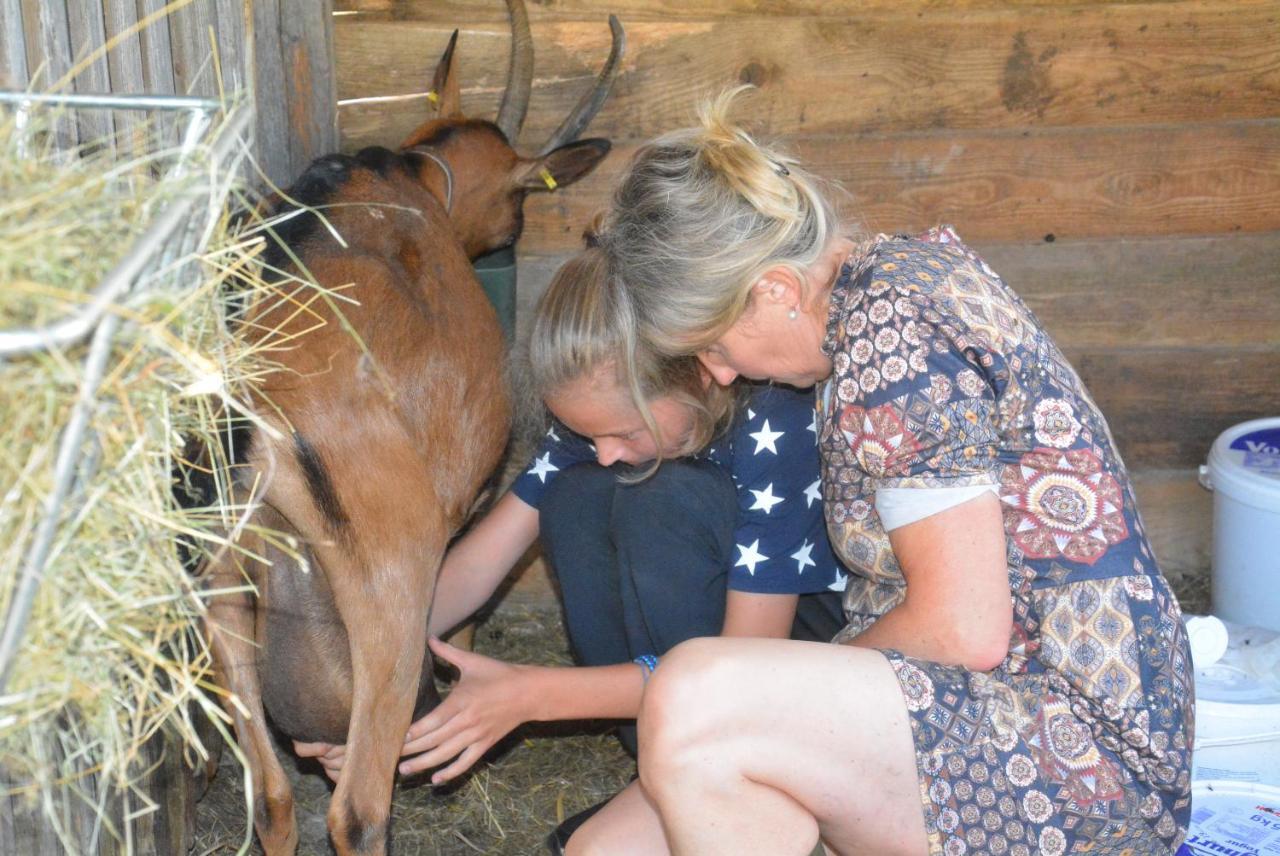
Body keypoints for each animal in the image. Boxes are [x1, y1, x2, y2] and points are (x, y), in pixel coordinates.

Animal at [194, 4, 619, 849]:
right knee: (356, 810)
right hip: (389, 577)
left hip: (220, 588)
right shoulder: (466, 498)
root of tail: (248, 421)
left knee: (274, 798)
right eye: (519, 204)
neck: (407, 179)